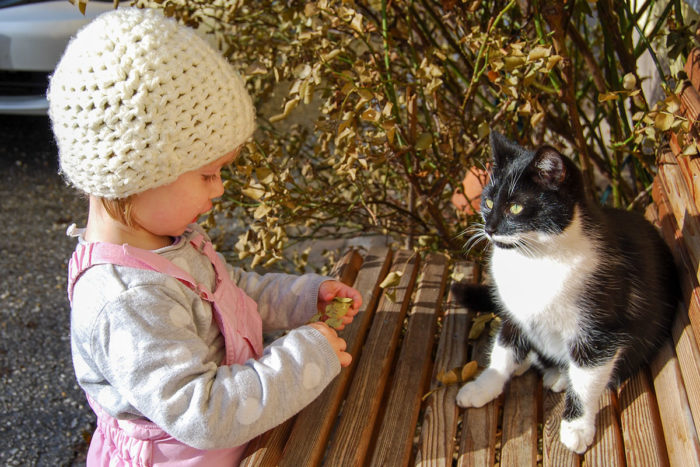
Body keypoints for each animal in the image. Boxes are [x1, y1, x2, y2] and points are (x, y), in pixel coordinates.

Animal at [454, 131, 680, 454]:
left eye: (515, 208)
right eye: (486, 201)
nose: (490, 227)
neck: (536, 258)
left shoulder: (600, 330)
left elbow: (586, 381)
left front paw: (576, 427)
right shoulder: (515, 313)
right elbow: (502, 351)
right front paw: (483, 386)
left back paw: (559, 376)